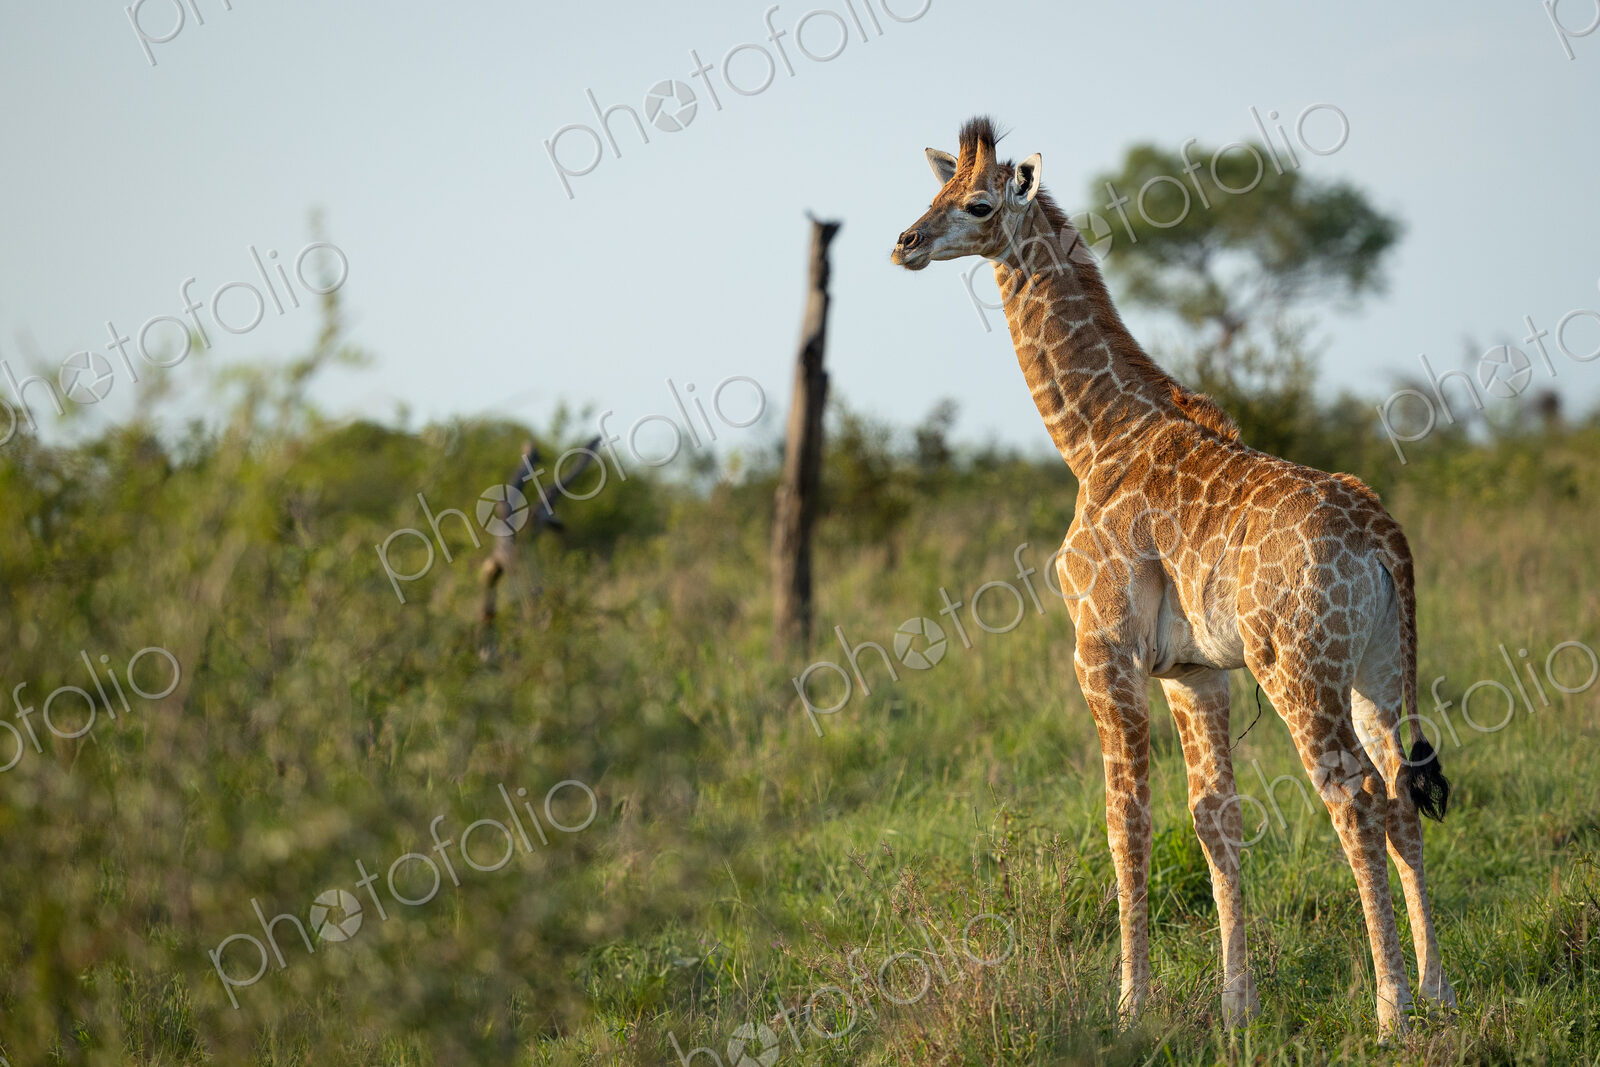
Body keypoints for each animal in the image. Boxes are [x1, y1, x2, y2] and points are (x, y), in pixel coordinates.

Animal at [890, 118, 1454, 1037]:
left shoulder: (1102, 648)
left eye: (976, 204)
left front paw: (1129, 1003)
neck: (1096, 438)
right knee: (1401, 790)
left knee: (1356, 795)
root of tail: (1384, 538)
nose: (905, 242)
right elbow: (1215, 817)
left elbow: (1127, 818)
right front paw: (1237, 1005)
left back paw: (1391, 1009)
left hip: (1299, 669)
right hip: (1375, 668)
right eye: (934, 192)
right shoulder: (1195, 670)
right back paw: (1438, 989)